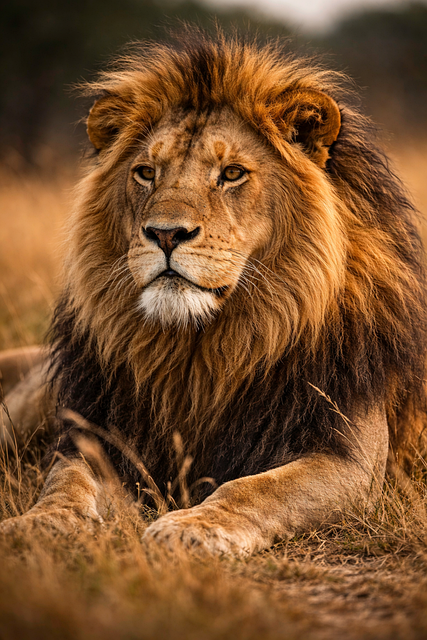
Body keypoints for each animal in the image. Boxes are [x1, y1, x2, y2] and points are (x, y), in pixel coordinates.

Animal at [1, 31, 426, 556]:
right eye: (146, 172)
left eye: (232, 173)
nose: (165, 233)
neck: (202, 350)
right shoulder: (96, 435)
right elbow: (66, 483)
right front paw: (38, 523)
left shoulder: (352, 460)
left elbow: (255, 488)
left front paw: (191, 526)